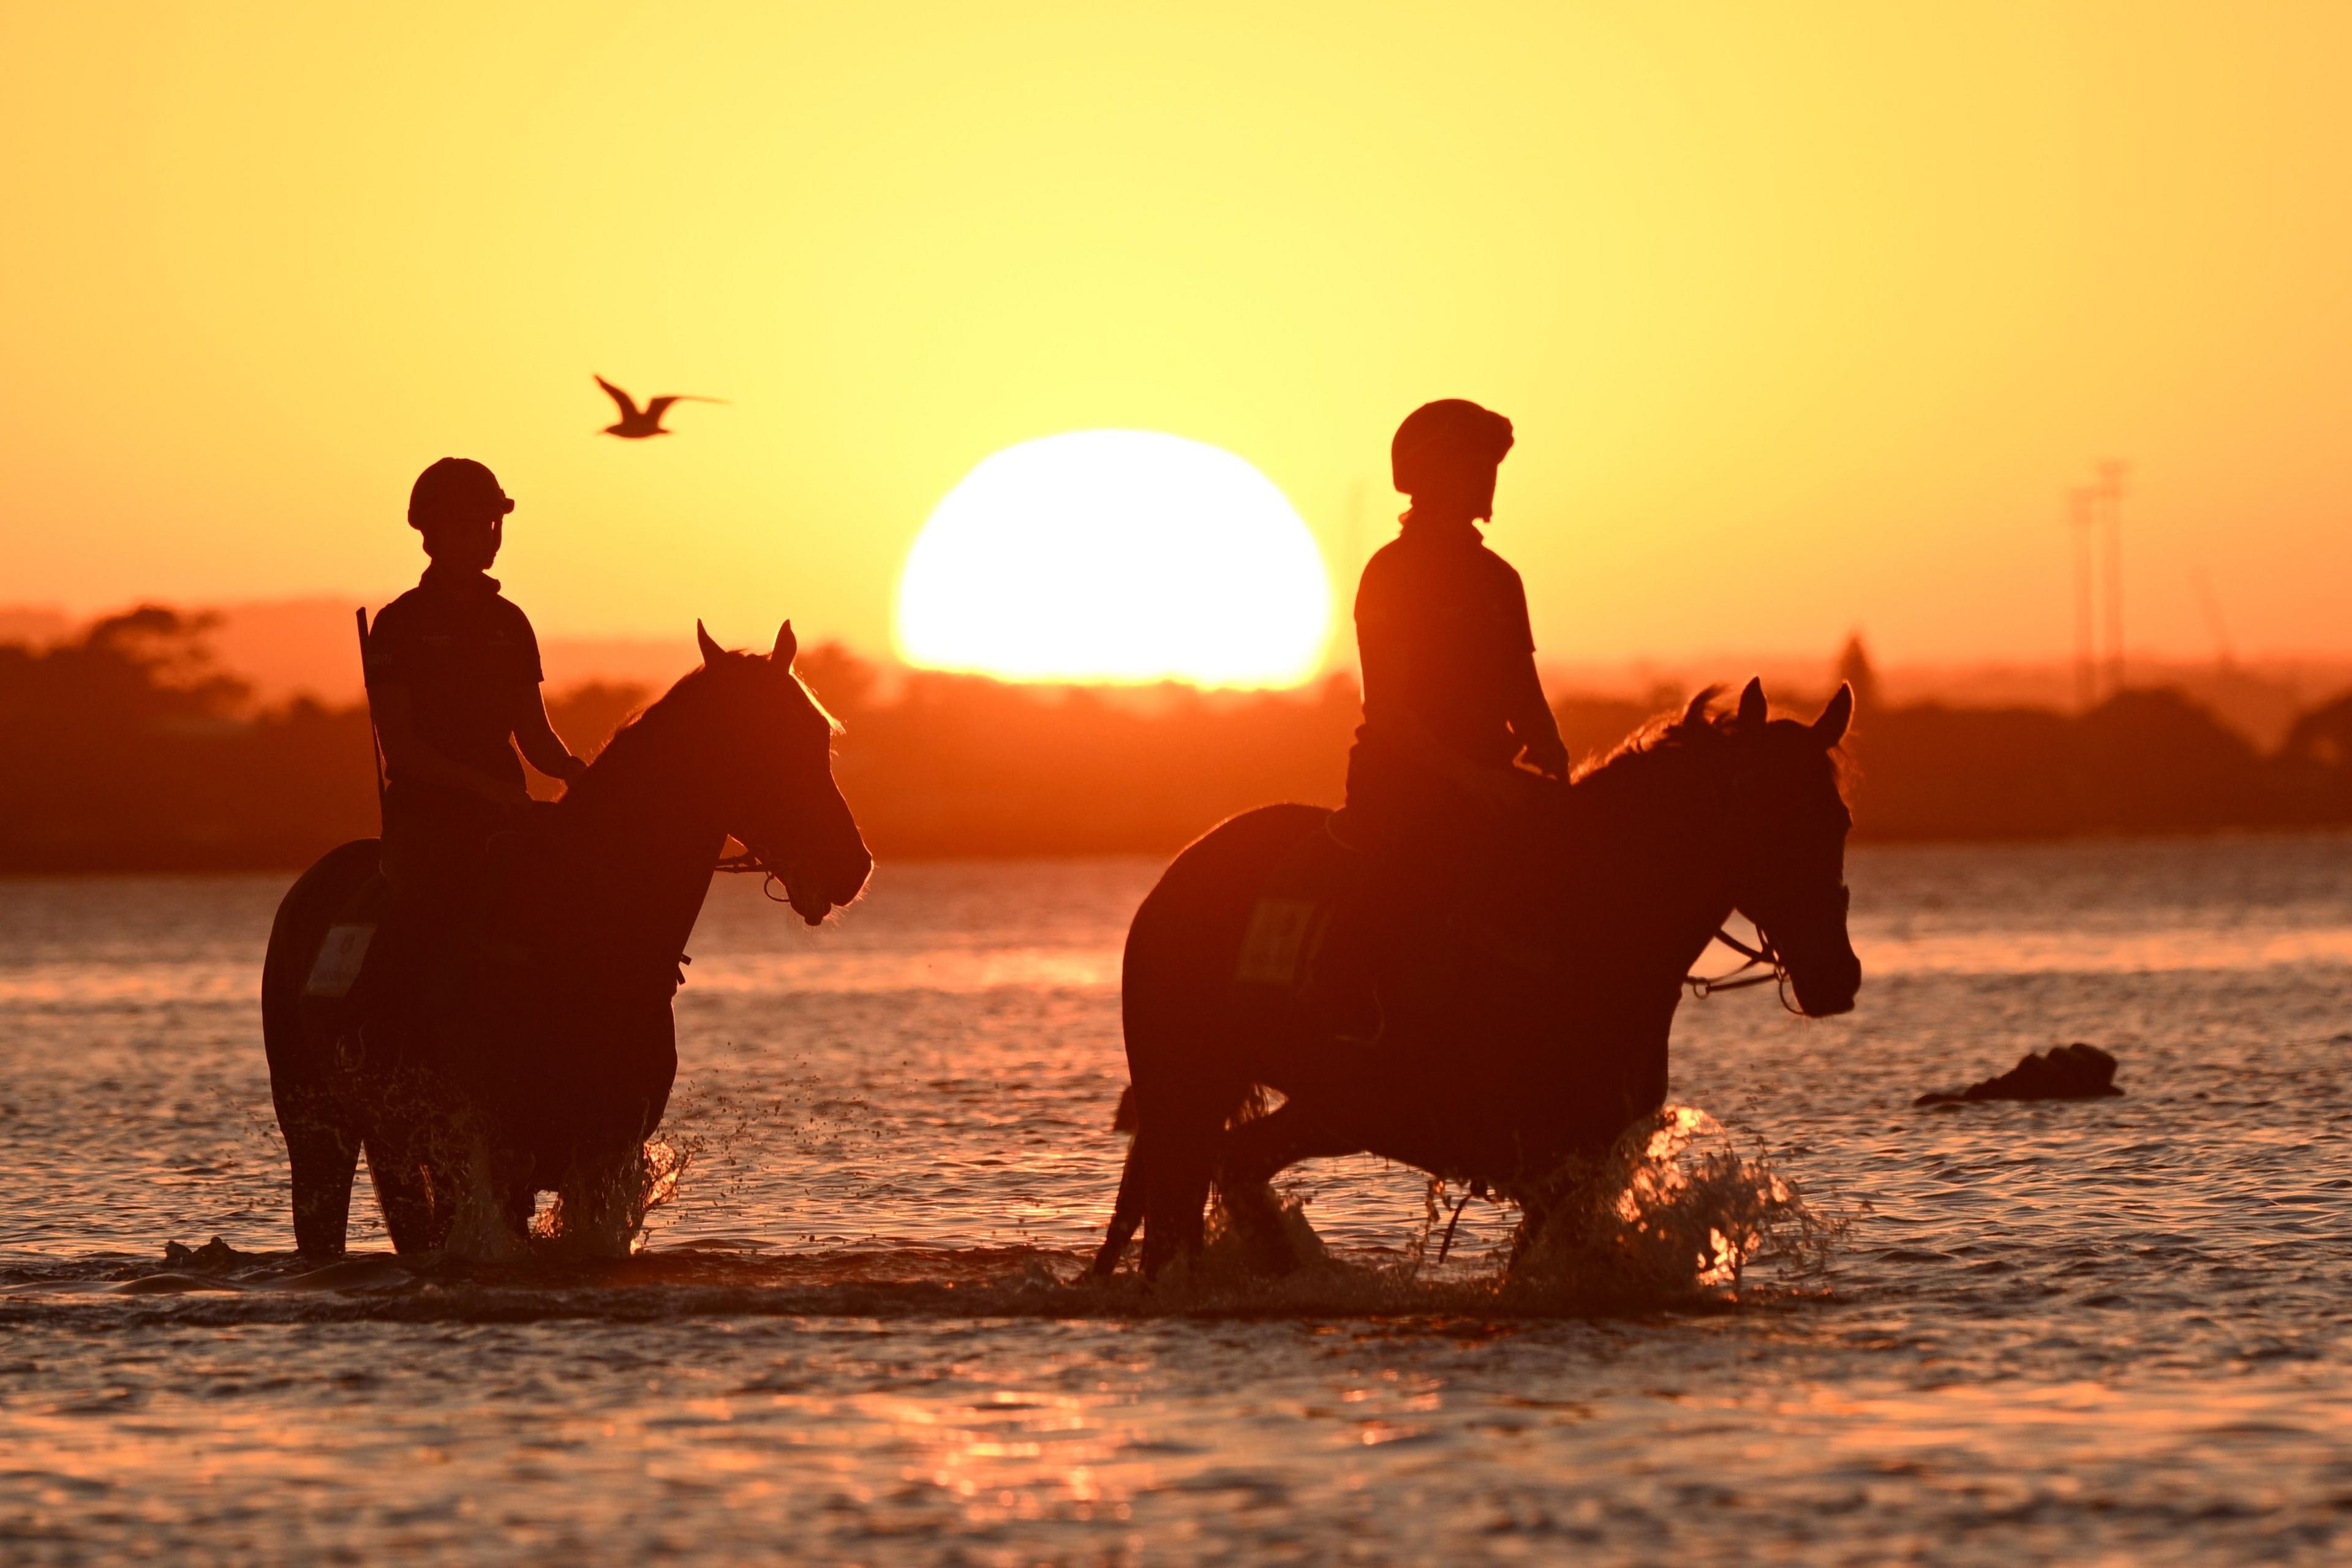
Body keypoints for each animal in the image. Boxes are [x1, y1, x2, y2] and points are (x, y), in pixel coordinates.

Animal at [265, 620, 875, 1260]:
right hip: (318, 1132)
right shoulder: (493, 1154)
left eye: (817, 735)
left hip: (393, 1148)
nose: (849, 866)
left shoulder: (604, 1153)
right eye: (757, 741)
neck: (574, 929)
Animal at [1091, 677, 1863, 1278]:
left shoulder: (1570, 1163)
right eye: (1767, 818)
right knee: (1198, 1189)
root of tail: (1175, 875)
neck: (1586, 927)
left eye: (1839, 821)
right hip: (1227, 1097)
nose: (1836, 975)